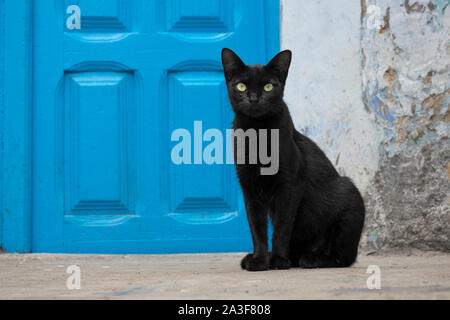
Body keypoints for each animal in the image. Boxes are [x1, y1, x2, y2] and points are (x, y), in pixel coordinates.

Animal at [221, 48, 366, 272]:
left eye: (268, 86)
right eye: (241, 86)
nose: (253, 98)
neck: (257, 133)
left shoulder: (289, 186)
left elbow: (282, 228)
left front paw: (279, 261)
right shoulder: (249, 189)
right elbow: (257, 228)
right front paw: (260, 260)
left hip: (350, 199)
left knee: (343, 257)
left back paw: (311, 258)